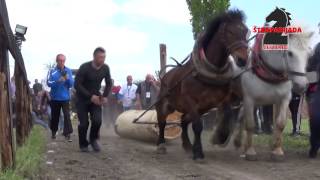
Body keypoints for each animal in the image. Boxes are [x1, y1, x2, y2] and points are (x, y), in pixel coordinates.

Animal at [155, 9, 250, 160]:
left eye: (246, 31)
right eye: (229, 31)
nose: (243, 60)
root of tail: (165, 75)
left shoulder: (217, 101)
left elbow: (227, 113)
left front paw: (220, 137)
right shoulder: (190, 100)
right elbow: (198, 126)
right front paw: (198, 152)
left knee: (183, 120)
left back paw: (188, 146)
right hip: (165, 104)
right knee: (162, 121)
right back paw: (161, 145)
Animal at [236, 28, 314, 161]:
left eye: (308, 54)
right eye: (290, 53)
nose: (302, 85)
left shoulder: (284, 99)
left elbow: (280, 123)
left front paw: (277, 151)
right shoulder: (249, 99)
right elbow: (250, 124)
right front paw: (250, 152)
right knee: (241, 118)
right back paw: (239, 144)